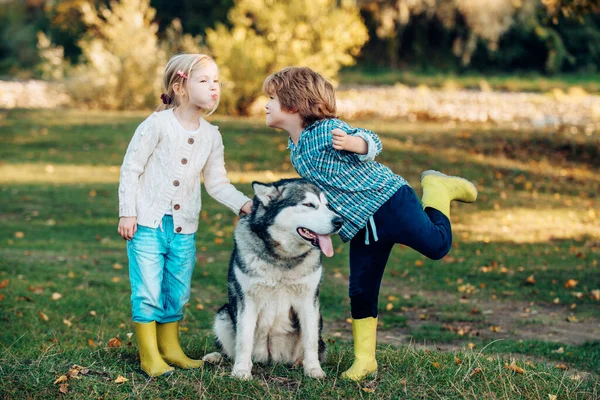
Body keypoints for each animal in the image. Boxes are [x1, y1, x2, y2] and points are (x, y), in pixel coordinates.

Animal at [202, 180, 342, 380]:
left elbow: (311, 342)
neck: (282, 258)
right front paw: (241, 371)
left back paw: (299, 363)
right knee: (230, 352)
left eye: (327, 205)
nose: (340, 221)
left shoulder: (308, 301)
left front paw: (314, 370)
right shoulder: (247, 301)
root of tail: (271, 360)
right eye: (308, 204)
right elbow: (243, 340)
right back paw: (215, 357)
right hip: (224, 314)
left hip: (317, 318)